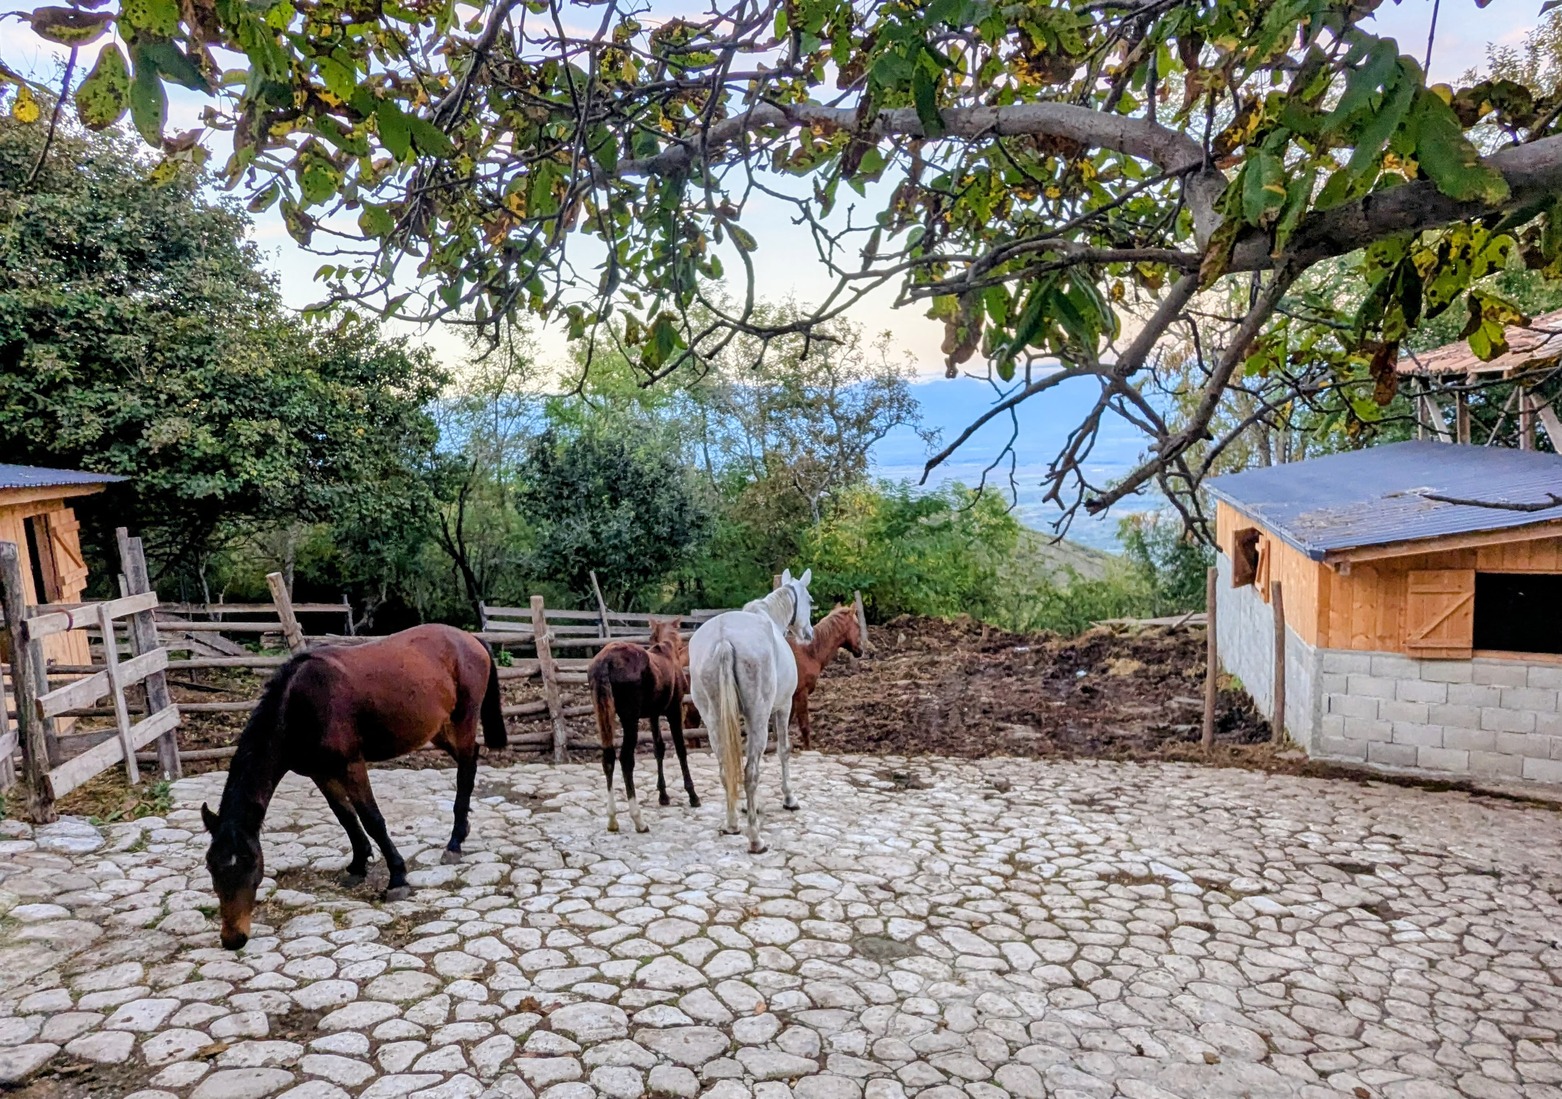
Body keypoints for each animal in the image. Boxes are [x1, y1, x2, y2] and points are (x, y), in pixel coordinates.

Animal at [200, 624, 506, 950]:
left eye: (251, 863)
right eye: (211, 866)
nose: (233, 938)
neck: (299, 705)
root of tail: (470, 639)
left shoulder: (352, 766)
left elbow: (372, 820)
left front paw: (397, 878)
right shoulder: (320, 773)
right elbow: (345, 816)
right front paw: (358, 865)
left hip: (463, 720)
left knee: (466, 771)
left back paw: (454, 842)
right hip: (438, 729)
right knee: (469, 761)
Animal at [588, 618, 698, 833]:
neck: (667, 651)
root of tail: (605, 661)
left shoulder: (653, 714)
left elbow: (658, 749)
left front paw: (663, 795)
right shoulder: (674, 710)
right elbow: (680, 750)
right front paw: (692, 795)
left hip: (603, 712)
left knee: (608, 758)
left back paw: (612, 820)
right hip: (630, 718)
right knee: (625, 759)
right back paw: (638, 820)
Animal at [687, 568, 814, 853]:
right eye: (810, 600)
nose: (809, 634)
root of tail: (723, 639)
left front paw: (747, 806)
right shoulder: (783, 707)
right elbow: (783, 750)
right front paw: (789, 798)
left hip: (713, 720)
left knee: (726, 768)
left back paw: (732, 824)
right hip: (759, 716)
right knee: (750, 774)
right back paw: (755, 839)